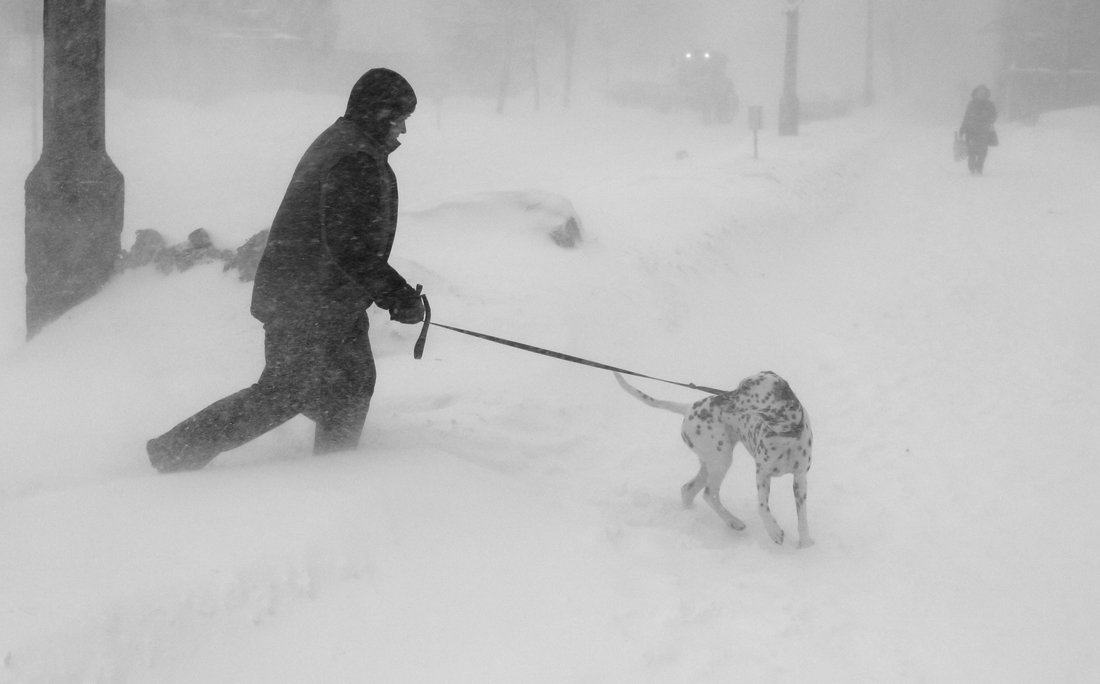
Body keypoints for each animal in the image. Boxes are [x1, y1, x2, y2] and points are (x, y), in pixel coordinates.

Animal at [616, 371, 814, 549]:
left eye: (747, 387)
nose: (720, 398)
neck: (786, 436)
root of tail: (688, 407)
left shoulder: (800, 479)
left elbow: (802, 515)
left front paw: (805, 543)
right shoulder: (762, 473)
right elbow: (762, 507)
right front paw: (774, 531)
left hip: (710, 461)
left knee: (688, 489)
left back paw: (692, 514)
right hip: (721, 459)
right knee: (709, 493)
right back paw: (733, 522)